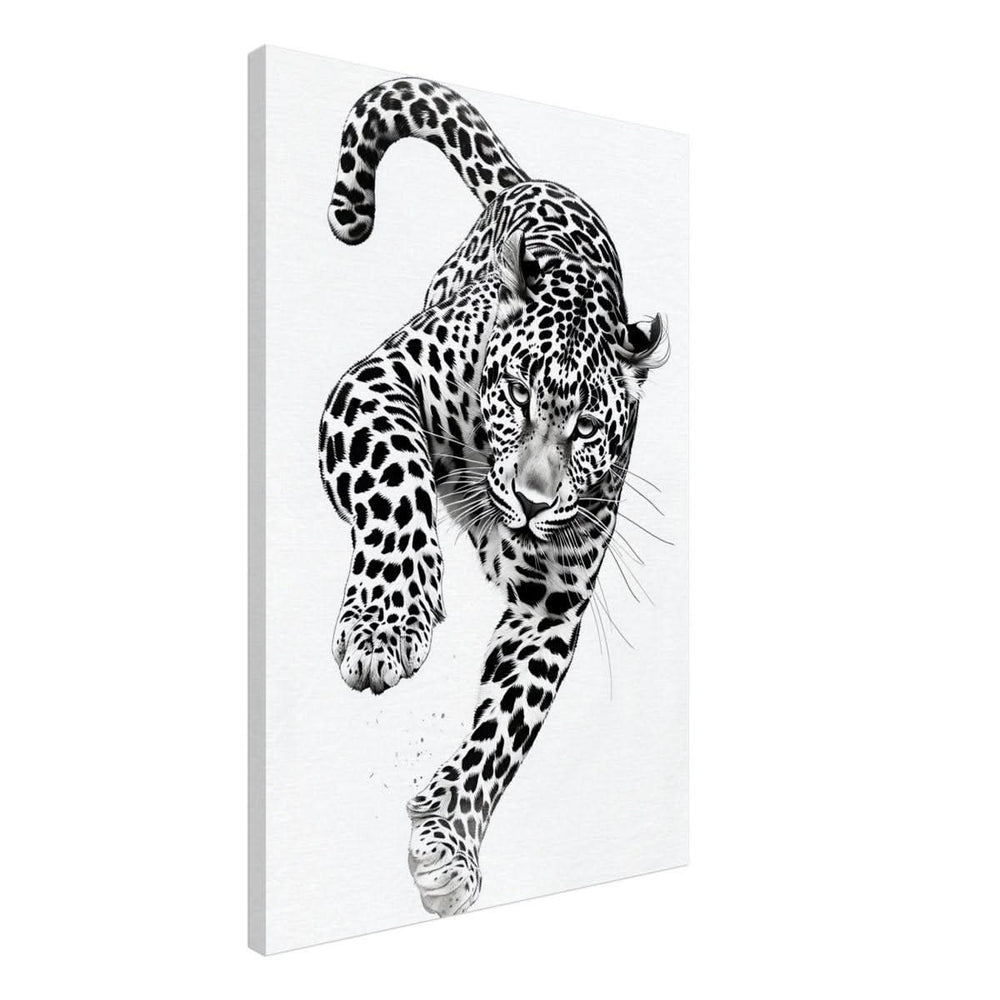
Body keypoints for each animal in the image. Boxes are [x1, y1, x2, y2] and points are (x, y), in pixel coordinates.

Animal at [319, 77, 670, 917]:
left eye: (588, 428)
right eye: (516, 394)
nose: (536, 501)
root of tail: (535, 180)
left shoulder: (550, 603)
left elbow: (505, 728)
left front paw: (448, 839)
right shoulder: (376, 383)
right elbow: (395, 481)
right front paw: (387, 624)